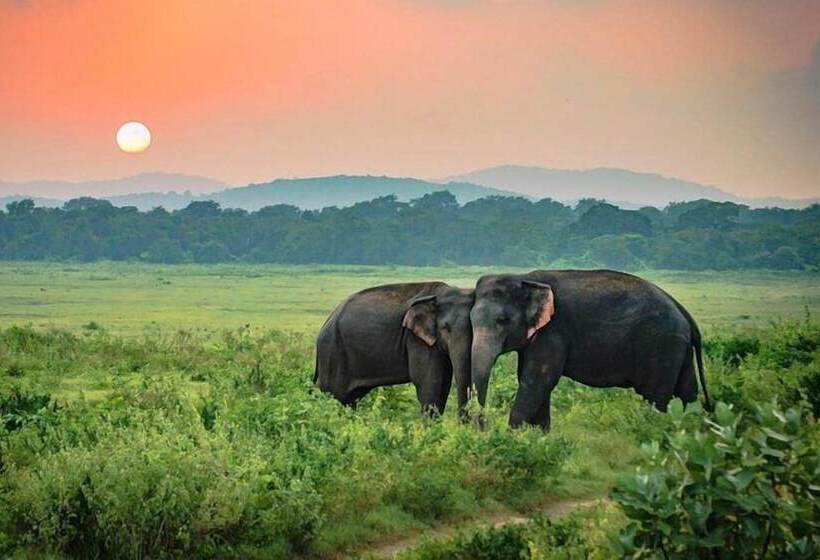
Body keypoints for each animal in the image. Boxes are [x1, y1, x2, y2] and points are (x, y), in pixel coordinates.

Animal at [314, 282, 474, 417]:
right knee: (333, 394)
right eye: (446, 328)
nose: (464, 422)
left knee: (350, 399)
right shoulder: (416, 340)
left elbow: (444, 383)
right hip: (333, 354)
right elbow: (429, 383)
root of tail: (326, 322)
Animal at [469, 270, 711, 430]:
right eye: (470, 320)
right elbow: (534, 382)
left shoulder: (553, 330)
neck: (524, 277)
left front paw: (514, 436)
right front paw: (539, 437)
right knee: (687, 391)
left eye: (503, 320)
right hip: (678, 347)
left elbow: (537, 380)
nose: (483, 425)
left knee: (655, 396)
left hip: (661, 345)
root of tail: (683, 311)